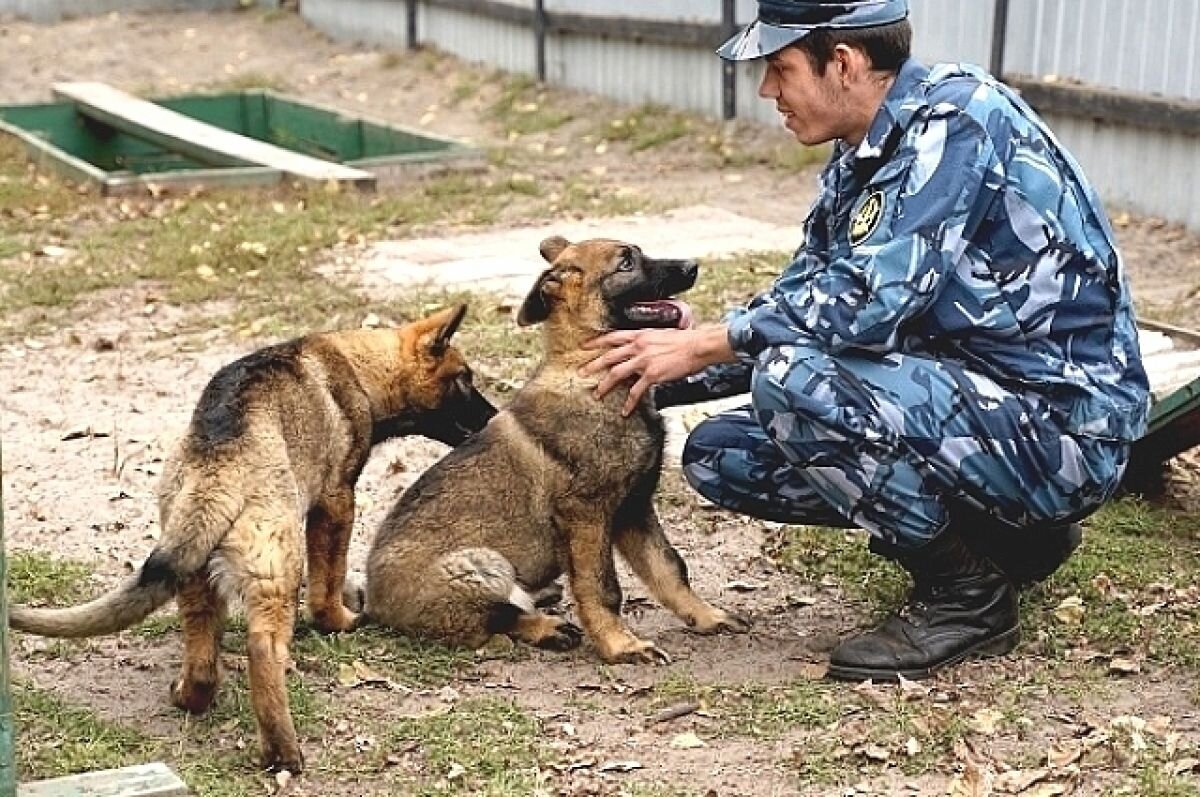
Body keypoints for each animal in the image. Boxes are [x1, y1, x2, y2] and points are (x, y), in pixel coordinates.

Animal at [9, 304, 496, 772]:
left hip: (196, 571)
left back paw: (190, 696)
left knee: (203, 657)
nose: (495, 417)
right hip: (277, 564)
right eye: (465, 379)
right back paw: (283, 752)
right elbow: (328, 583)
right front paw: (340, 619)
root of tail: (217, 465)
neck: (361, 368)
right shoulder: (336, 503)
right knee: (263, 647)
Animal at [360, 236, 744, 657]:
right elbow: (602, 586)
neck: (592, 369)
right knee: (490, 624)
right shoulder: (587, 514)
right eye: (626, 263)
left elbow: (670, 568)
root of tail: (372, 605)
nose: (693, 266)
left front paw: (705, 616)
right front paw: (620, 645)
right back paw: (543, 627)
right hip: (484, 565)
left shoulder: (634, 507)